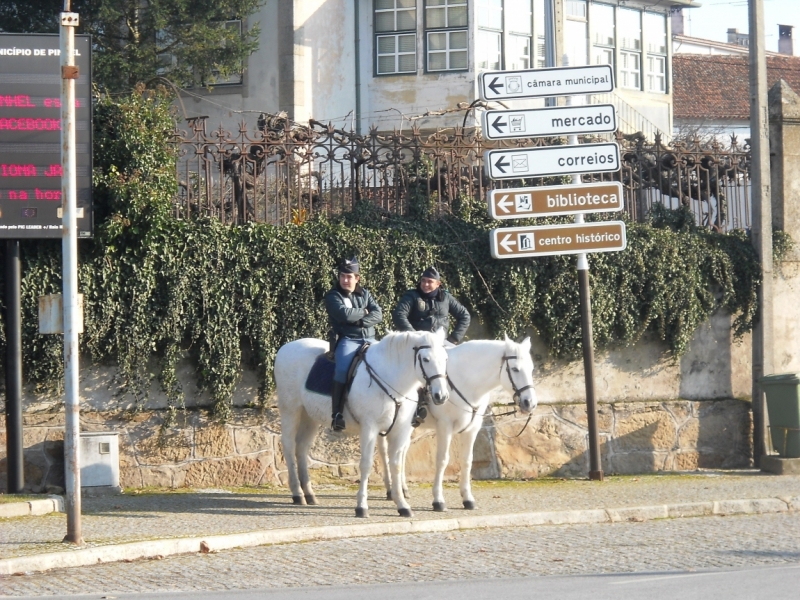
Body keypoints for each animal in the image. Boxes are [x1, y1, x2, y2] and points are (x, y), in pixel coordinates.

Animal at [276, 328, 450, 516]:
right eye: (426, 359)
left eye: (445, 358)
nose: (441, 396)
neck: (392, 380)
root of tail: (285, 348)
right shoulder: (370, 428)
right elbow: (366, 465)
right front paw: (361, 506)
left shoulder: (400, 430)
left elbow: (396, 465)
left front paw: (402, 504)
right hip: (290, 411)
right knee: (288, 445)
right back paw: (297, 493)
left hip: (310, 416)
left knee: (301, 448)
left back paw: (309, 494)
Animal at [382, 338, 536, 510]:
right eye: (515, 369)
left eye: (531, 369)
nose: (530, 403)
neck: (466, 381)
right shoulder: (445, 427)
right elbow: (442, 460)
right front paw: (438, 500)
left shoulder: (472, 429)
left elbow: (467, 460)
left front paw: (467, 498)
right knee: (384, 451)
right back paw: (390, 490)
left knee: (401, 452)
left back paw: (402, 489)